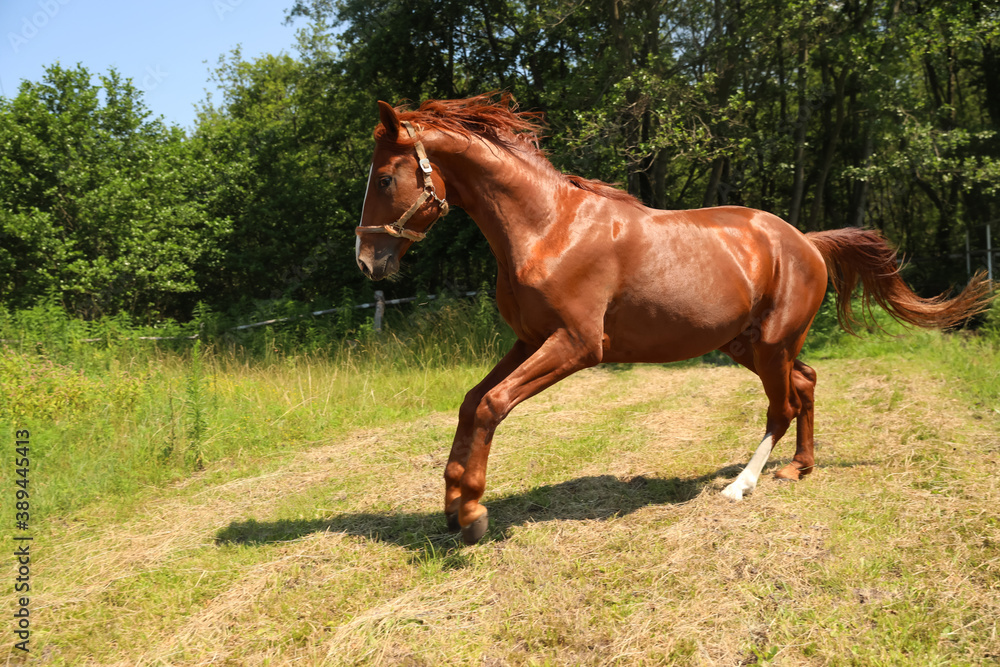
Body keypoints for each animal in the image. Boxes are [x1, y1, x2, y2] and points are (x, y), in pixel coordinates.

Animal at [354, 94, 994, 546]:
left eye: (384, 178)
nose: (367, 262)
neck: (548, 228)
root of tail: (806, 242)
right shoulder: (528, 340)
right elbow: (470, 402)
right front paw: (450, 506)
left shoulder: (577, 345)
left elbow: (491, 405)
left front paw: (472, 513)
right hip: (752, 344)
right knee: (807, 384)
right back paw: (798, 470)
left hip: (769, 344)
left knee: (782, 406)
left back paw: (741, 487)